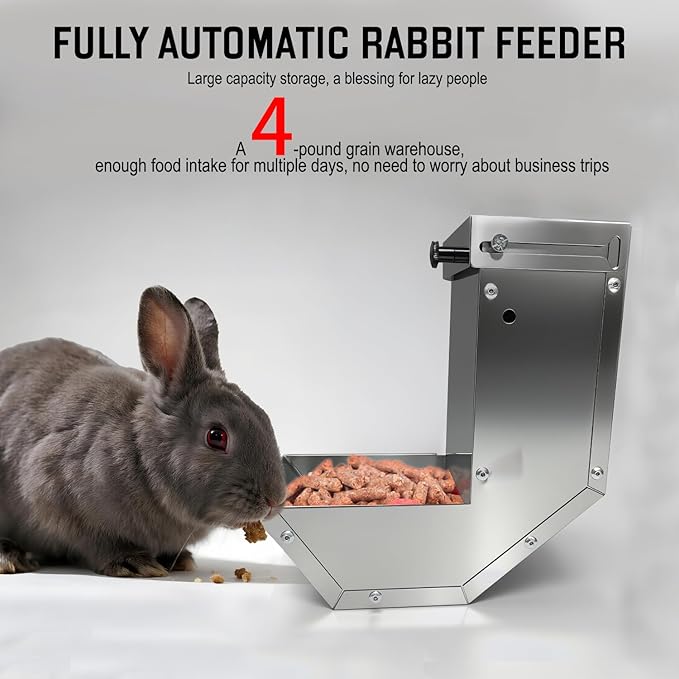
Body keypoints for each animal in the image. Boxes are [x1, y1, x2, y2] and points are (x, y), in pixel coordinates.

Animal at [0, 286, 287, 577]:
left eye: (264, 417)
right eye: (216, 436)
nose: (274, 500)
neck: (139, 451)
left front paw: (180, 560)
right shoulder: (55, 495)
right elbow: (97, 543)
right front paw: (135, 563)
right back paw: (10, 557)